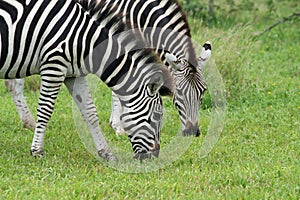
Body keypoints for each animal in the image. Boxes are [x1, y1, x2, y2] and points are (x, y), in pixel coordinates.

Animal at [4, 0, 211, 137]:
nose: (193, 132)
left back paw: (28, 122)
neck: (137, 11)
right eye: (179, 94)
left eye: (203, 92)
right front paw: (119, 125)